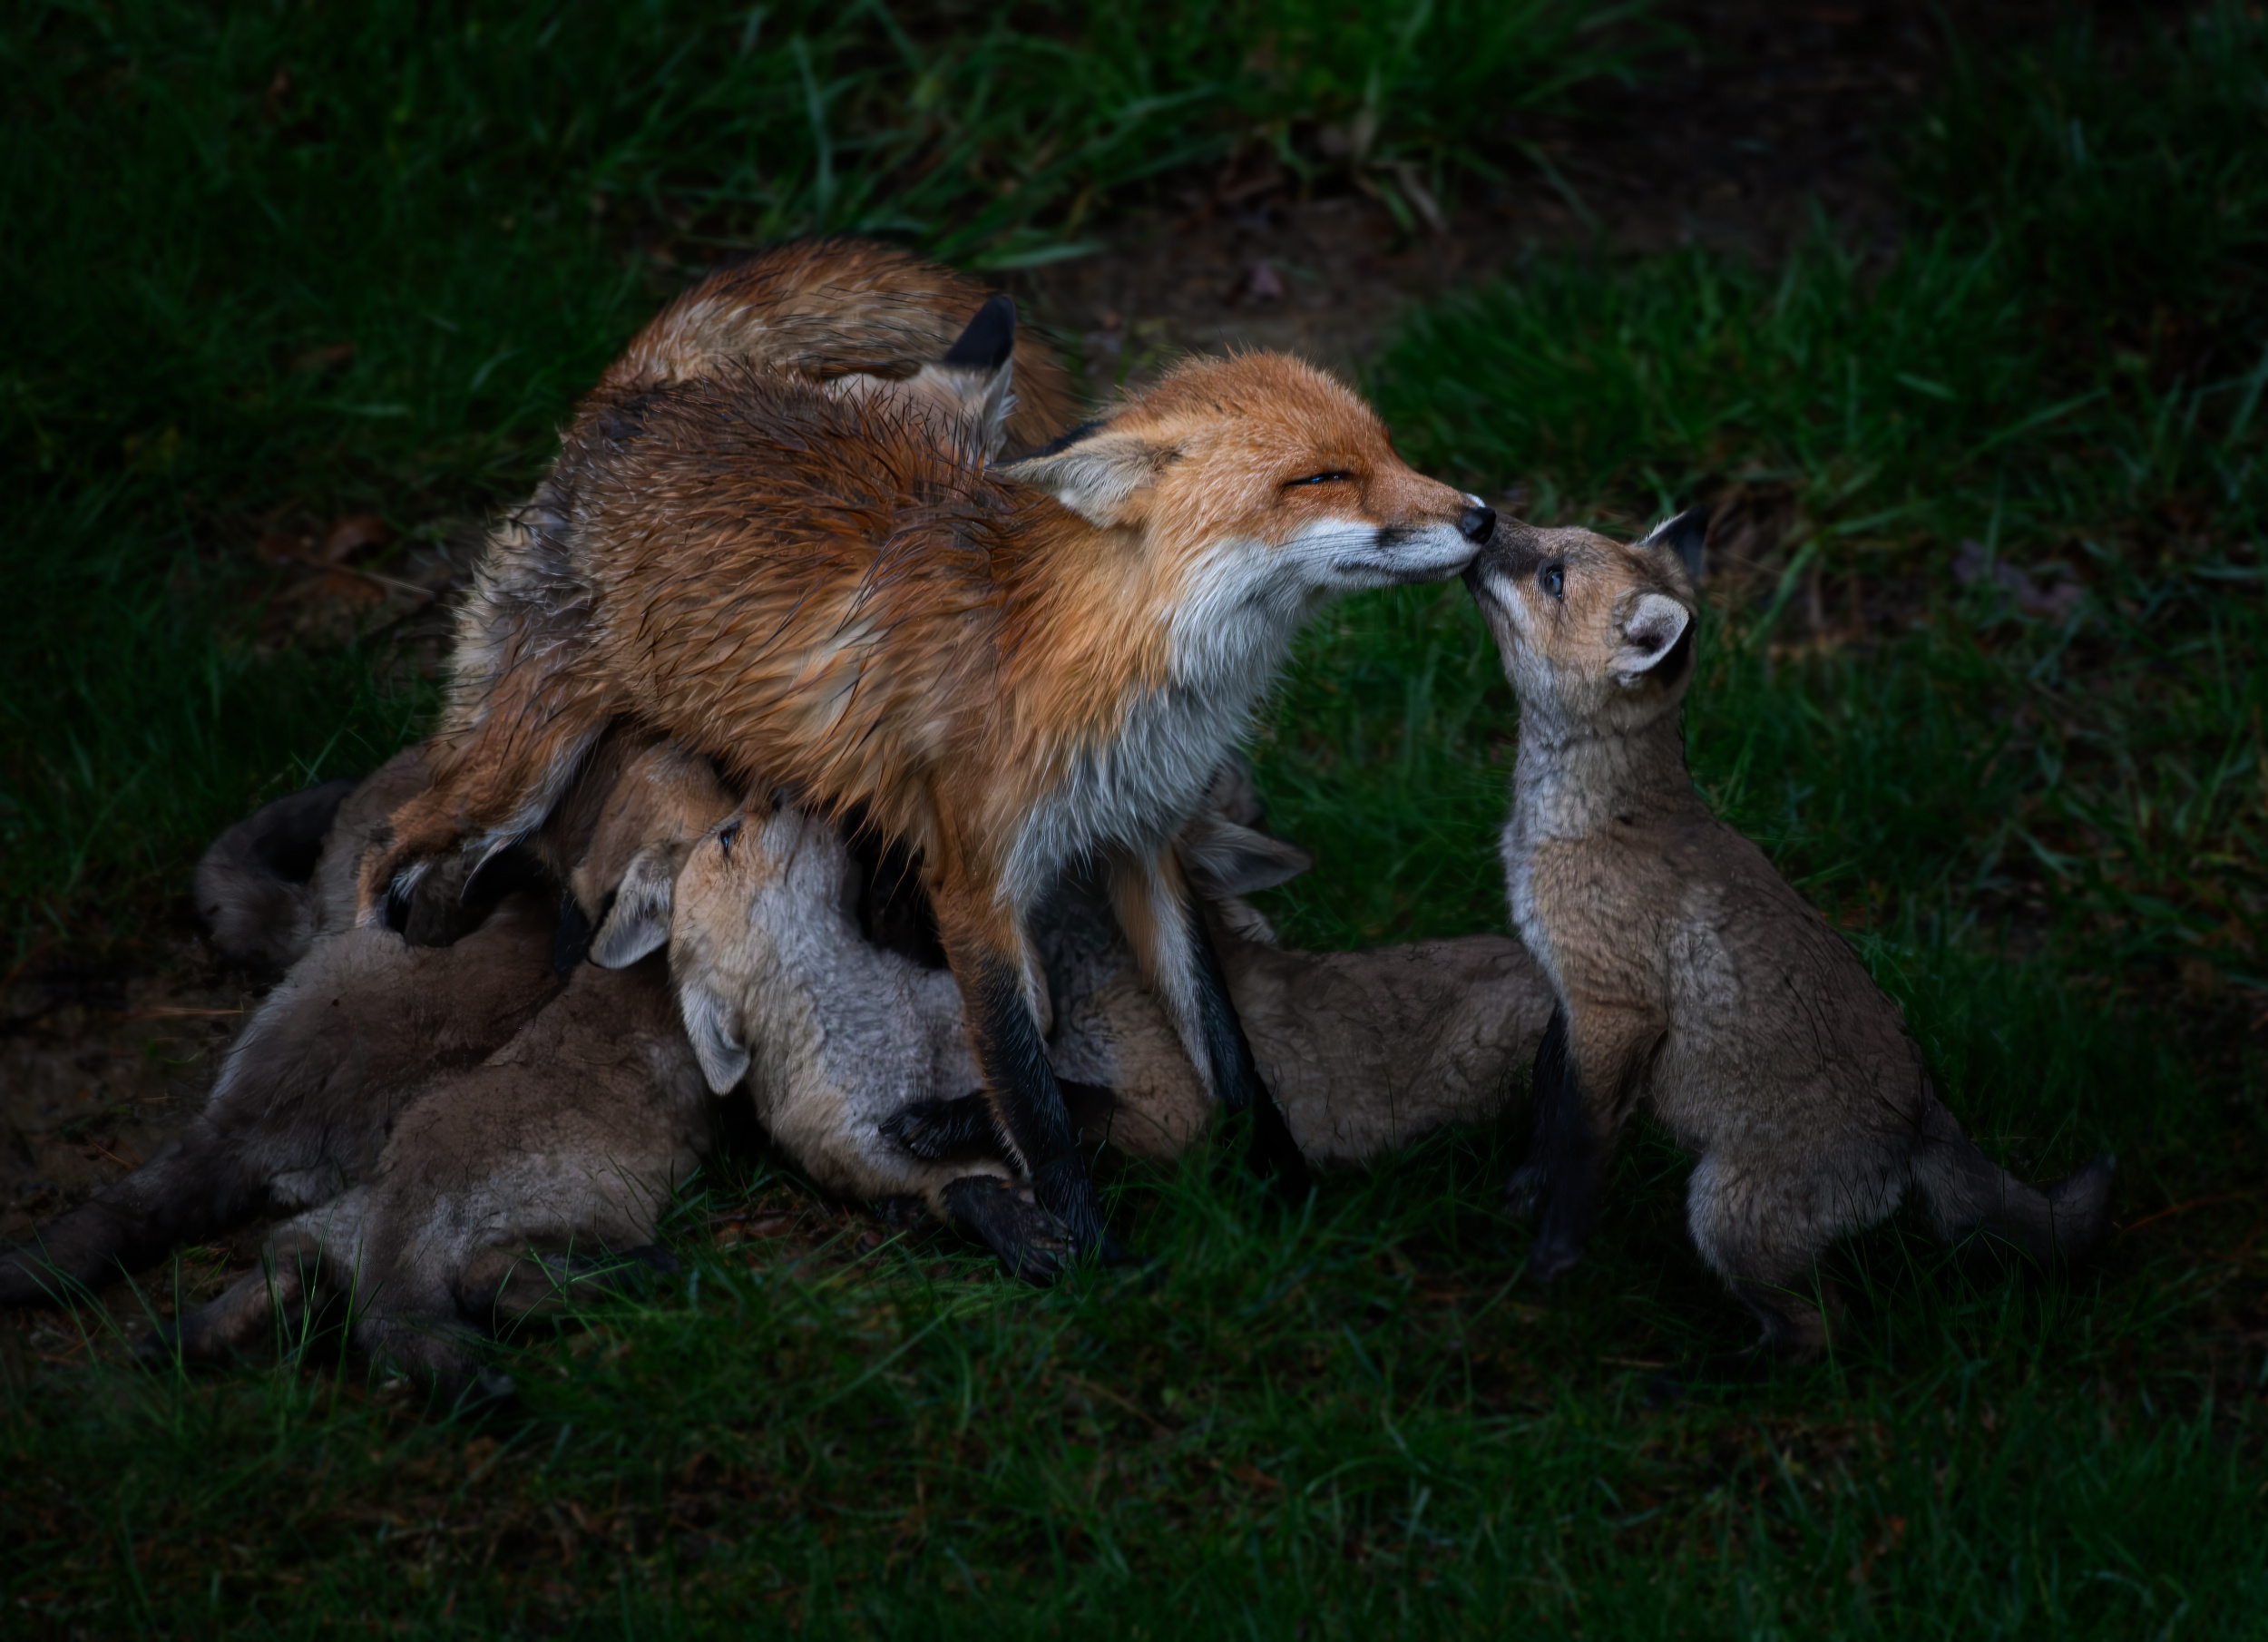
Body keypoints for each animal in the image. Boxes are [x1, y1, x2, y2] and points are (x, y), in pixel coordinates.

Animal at [358, 333, 1497, 1263]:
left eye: (1387, 449)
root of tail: (635, 399)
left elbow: (1220, 1048)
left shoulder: (1141, 842)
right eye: (1321, 477)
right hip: (515, 774)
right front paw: (1094, 1257)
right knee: (395, 849)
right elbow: (1030, 1090)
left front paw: (1286, 1195)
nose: (1485, 518)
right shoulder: (975, 880)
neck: (1103, 670)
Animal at [1463, 508, 2118, 1377]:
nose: (1481, 517)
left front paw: (1556, 1249)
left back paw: (1697, 1383)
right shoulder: (1571, 999)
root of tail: (1923, 1116)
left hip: (1724, 1213)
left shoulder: (1618, 1010)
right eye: (1545, 536)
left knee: (1821, 1333)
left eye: (1554, 577)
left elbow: (1585, 1143)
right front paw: (1523, 1193)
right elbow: (1548, 1110)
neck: (1586, 822)